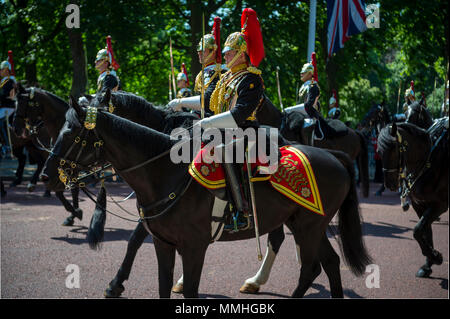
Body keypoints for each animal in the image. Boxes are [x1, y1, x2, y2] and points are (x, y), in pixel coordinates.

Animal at [12, 84, 82, 226]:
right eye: (15, 103)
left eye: (24, 103)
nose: (15, 129)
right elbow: (59, 191)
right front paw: (72, 213)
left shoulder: (73, 167)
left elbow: (73, 188)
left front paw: (75, 212)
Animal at [42, 100, 370, 300]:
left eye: (72, 134)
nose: (46, 176)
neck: (165, 172)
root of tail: (333, 155)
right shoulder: (163, 243)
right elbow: (161, 283)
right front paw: (118, 283)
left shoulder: (194, 247)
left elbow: (188, 290)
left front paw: (116, 284)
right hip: (306, 224)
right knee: (328, 263)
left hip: (308, 226)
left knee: (310, 267)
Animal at [378, 121, 448, 278]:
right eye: (379, 151)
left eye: (393, 149)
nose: (389, 184)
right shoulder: (419, 205)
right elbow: (424, 232)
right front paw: (429, 263)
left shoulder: (440, 205)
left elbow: (417, 230)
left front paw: (436, 257)